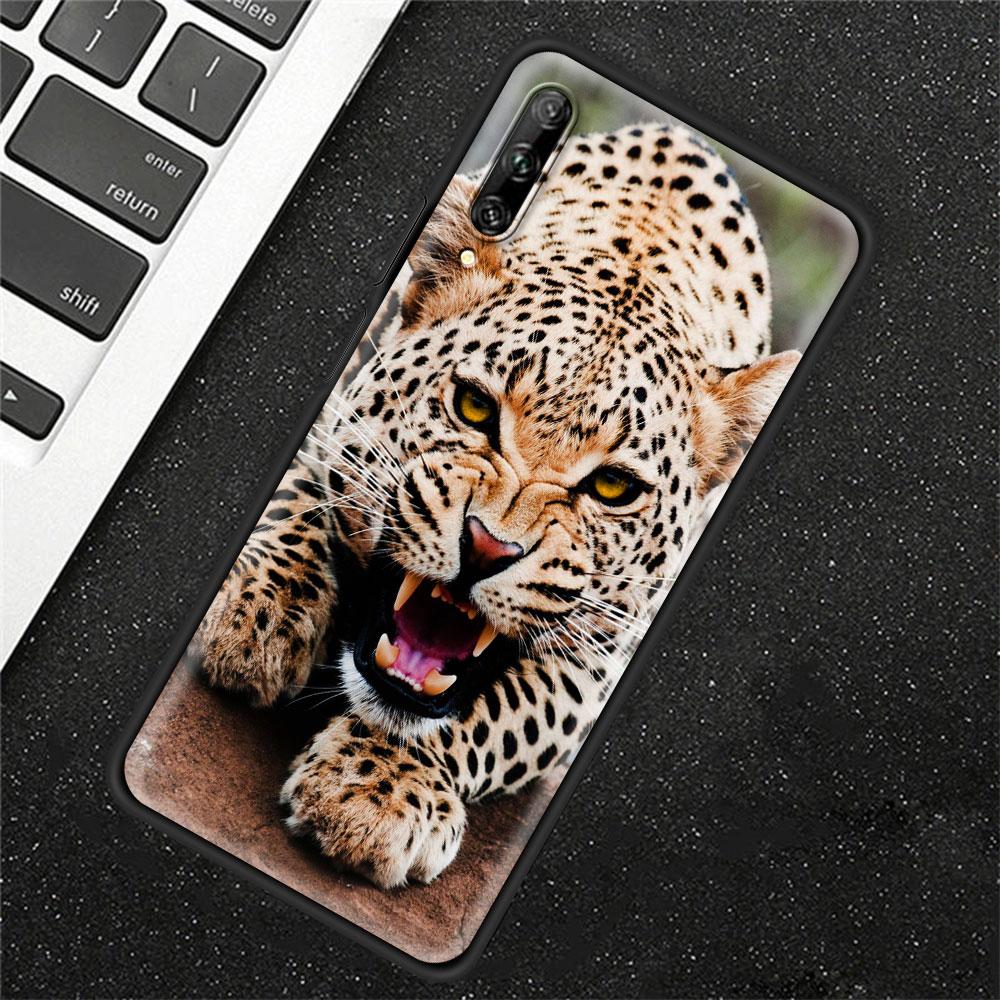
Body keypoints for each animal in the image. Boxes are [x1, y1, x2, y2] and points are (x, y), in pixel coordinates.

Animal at [194, 121, 800, 889]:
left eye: (613, 488)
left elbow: (491, 712)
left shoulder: (595, 666)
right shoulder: (337, 408)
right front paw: (261, 610)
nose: (487, 547)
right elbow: (298, 493)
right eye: (475, 407)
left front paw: (376, 789)